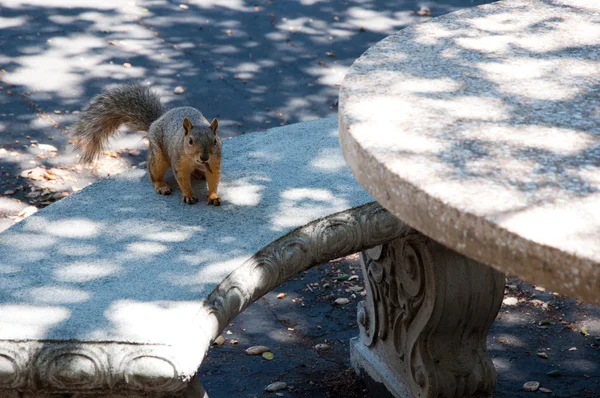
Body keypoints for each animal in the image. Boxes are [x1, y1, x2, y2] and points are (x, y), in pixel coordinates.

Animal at [72, 81, 221, 205]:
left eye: (215, 140)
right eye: (190, 141)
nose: (204, 157)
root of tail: (156, 121)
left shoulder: (214, 160)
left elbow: (213, 178)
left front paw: (213, 196)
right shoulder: (178, 162)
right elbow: (182, 179)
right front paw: (188, 195)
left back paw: (198, 173)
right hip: (158, 158)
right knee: (154, 173)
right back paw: (161, 186)